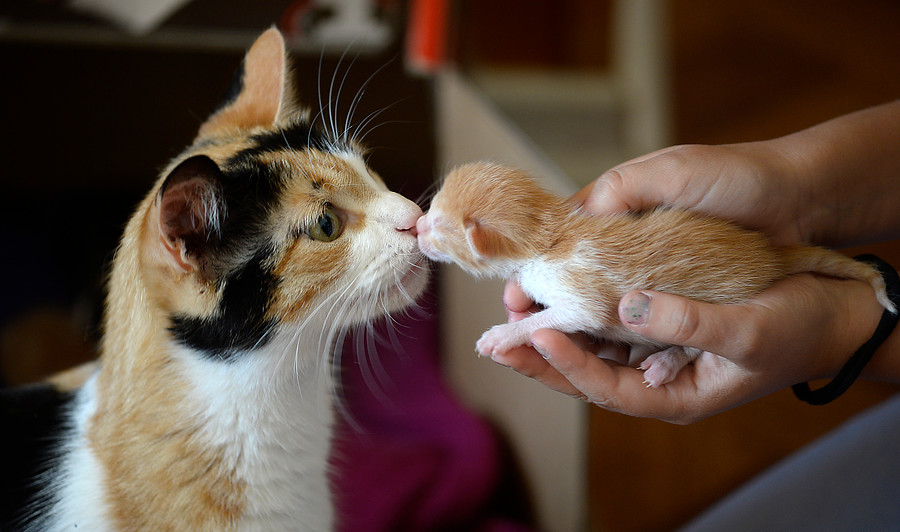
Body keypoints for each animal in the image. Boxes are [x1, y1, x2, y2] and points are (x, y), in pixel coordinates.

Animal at [418, 162, 896, 386]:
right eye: (433, 206)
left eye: (439, 226)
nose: (417, 226)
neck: (549, 238)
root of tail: (771, 253)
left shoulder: (576, 280)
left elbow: (578, 315)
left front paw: (502, 335)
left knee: (696, 346)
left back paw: (668, 361)